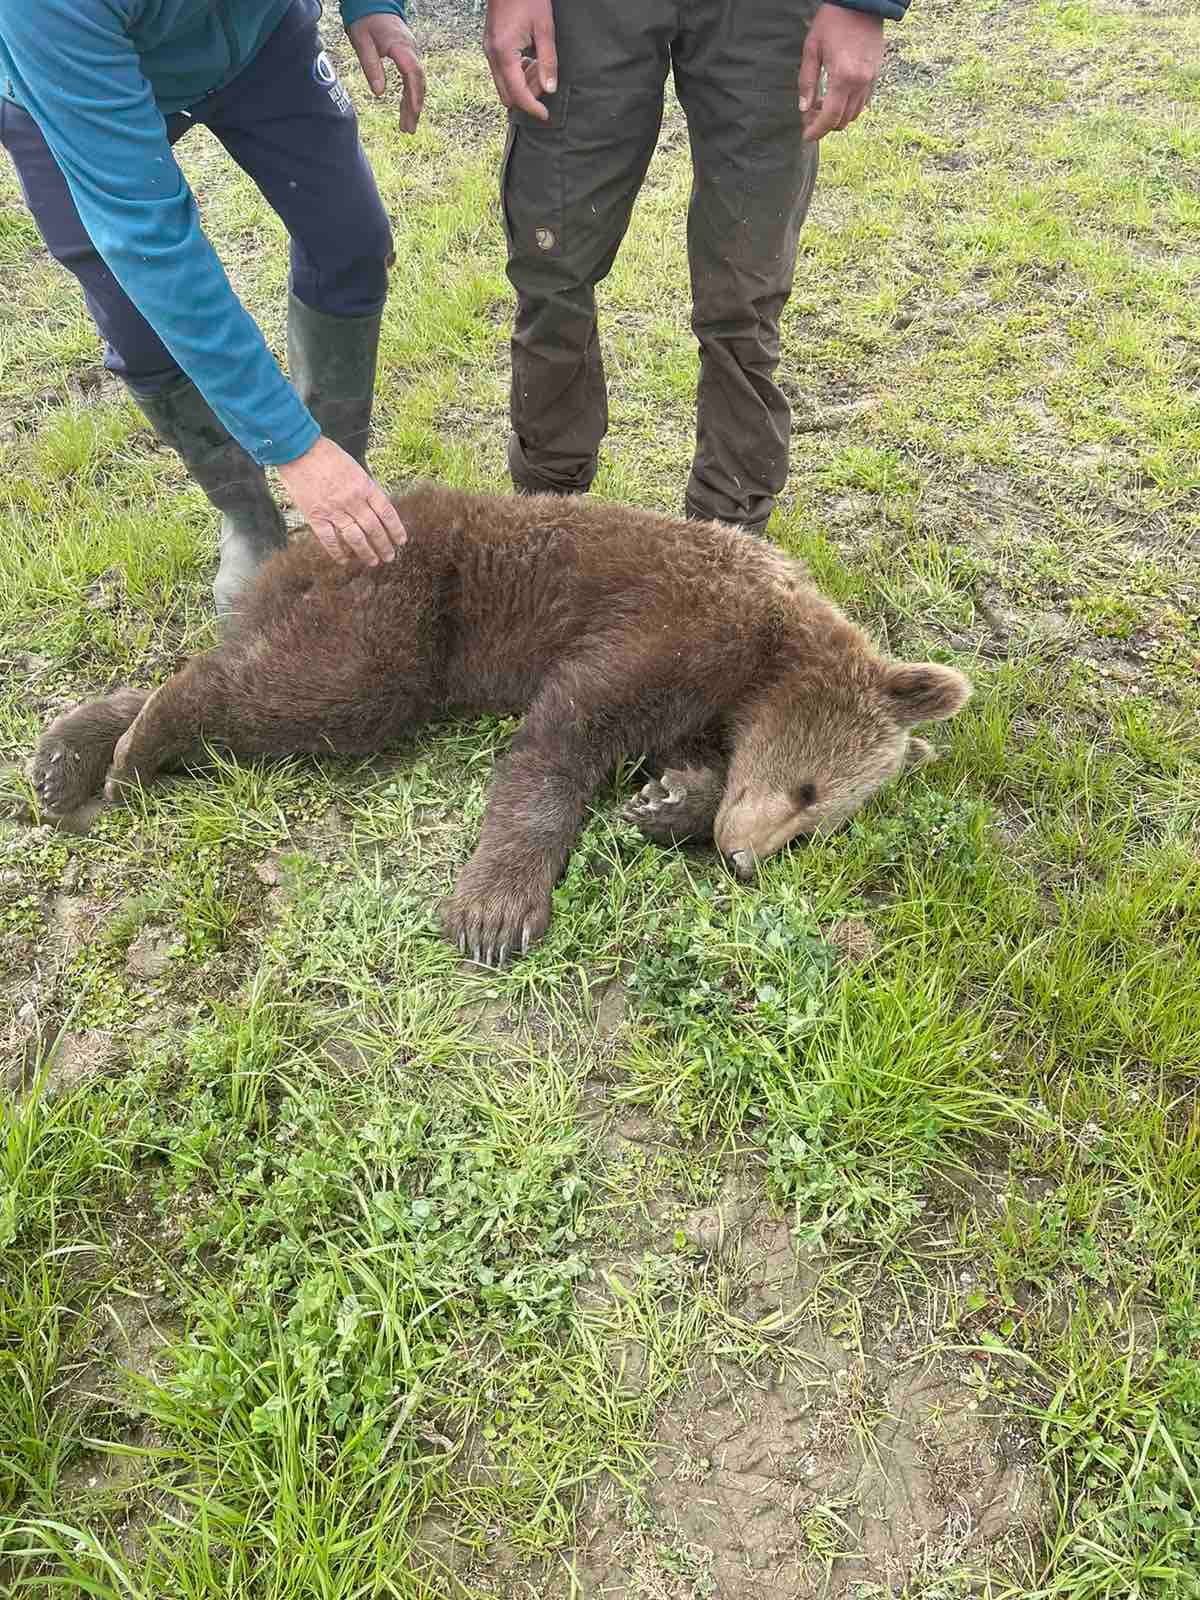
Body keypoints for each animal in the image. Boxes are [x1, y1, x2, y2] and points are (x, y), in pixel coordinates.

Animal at [30, 486, 979, 960]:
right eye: (811, 792)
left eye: (819, 828)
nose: (746, 861)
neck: (763, 660)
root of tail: (306, 549)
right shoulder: (672, 623)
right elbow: (564, 737)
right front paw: (497, 909)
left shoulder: (700, 695)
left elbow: (677, 757)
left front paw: (668, 802)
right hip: (400, 607)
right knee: (312, 689)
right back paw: (140, 743)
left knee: (258, 660)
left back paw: (68, 751)